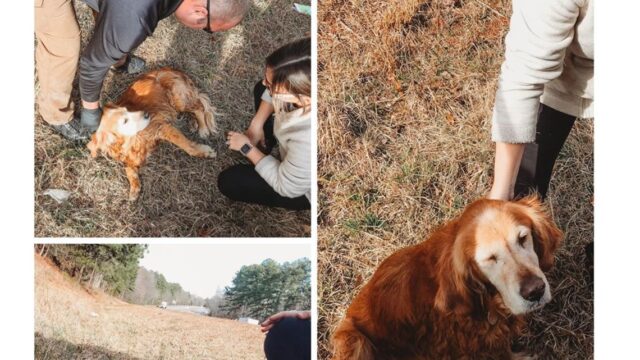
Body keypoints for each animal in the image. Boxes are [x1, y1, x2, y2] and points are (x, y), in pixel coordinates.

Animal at [87, 67, 218, 201]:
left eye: (127, 110)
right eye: (125, 121)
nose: (146, 114)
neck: (132, 141)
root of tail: (173, 69)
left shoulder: (162, 127)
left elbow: (187, 145)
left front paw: (204, 152)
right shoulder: (130, 157)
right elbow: (128, 168)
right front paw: (134, 187)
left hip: (177, 98)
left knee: (199, 107)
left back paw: (202, 128)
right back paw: (193, 124)